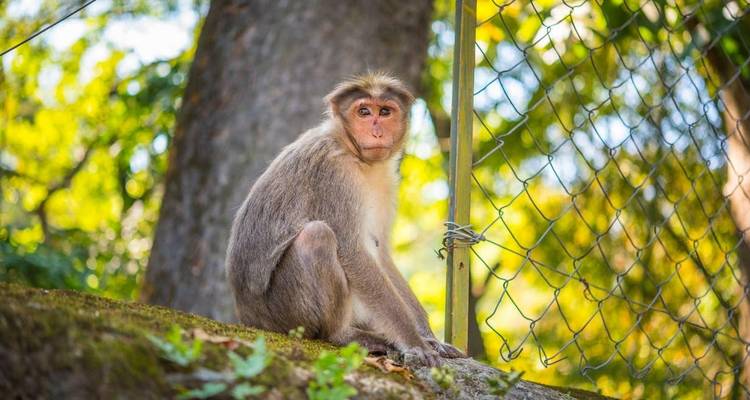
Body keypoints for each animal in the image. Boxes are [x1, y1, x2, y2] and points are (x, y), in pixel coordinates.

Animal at [226, 73, 466, 367]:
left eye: (384, 111)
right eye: (363, 112)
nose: (376, 131)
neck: (354, 153)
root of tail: (249, 317)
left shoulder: (387, 180)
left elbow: (381, 253)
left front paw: (429, 337)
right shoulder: (333, 171)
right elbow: (351, 251)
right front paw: (415, 342)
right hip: (284, 313)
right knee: (317, 236)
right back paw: (343, 334)